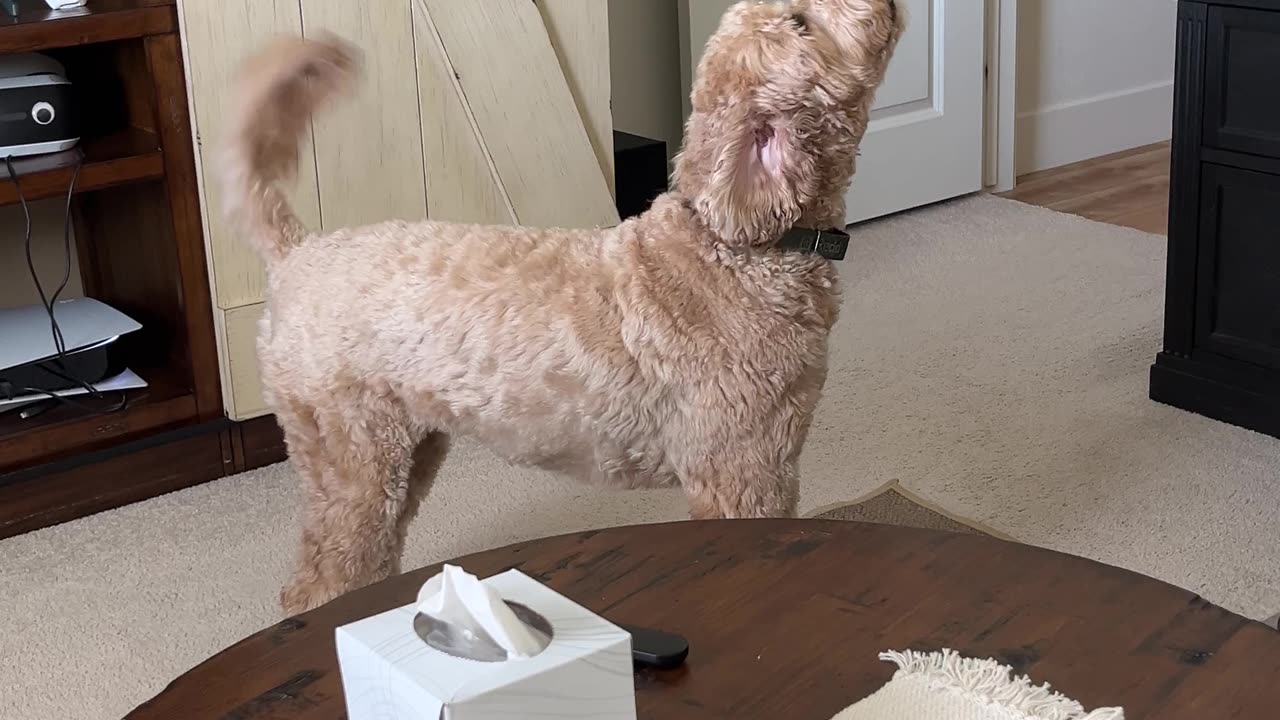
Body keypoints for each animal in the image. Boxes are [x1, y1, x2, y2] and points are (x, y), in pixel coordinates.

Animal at [222, 0, 901, 609]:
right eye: (800, 24)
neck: (739, 248)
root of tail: (298, 250)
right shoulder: (742, 469)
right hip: (349, 452)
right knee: (318, 582)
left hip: (408, 448)